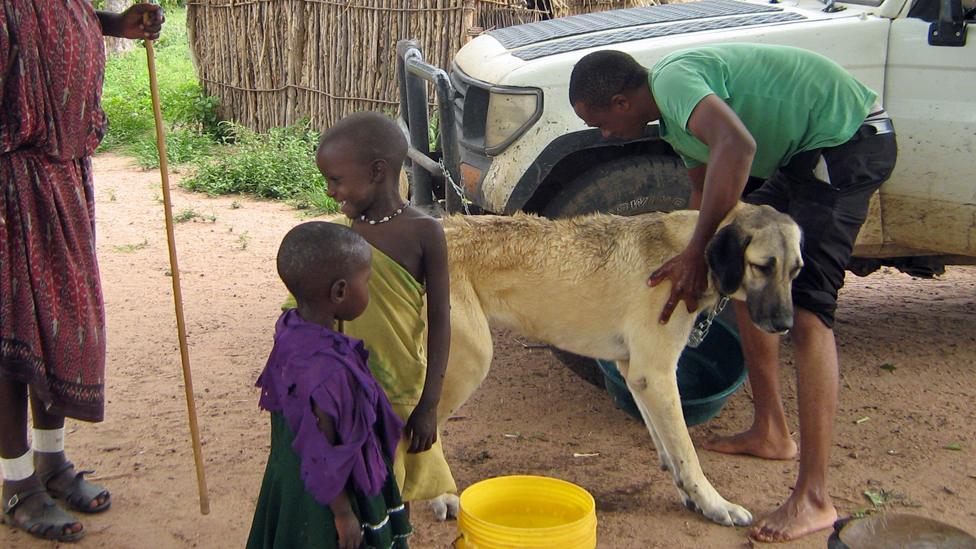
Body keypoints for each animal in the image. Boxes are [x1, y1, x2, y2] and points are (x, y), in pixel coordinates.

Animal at [428, 200, 800, 524]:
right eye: (763, 267)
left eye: (796, 271)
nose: (785, 324)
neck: (689, 253)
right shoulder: (657, 374)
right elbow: (688, 452)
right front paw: (715, 503)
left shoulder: (636, 374)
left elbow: (668, 446)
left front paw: (688, 493)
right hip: (473, 358)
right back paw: (440, 495)